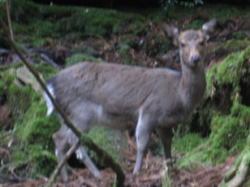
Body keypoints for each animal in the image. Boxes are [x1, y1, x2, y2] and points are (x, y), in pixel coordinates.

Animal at [44, 22, 210, 182]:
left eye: (202, 42)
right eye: (182, 44)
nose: (195, 58)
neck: (179, 95)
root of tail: (51, 84)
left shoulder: (165, 124)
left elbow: (167, 145)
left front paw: (171, 169)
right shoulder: (149, 110)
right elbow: (142, 144)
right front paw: (137, 172)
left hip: (66, 114)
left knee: (58, 137)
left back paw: (64, 177)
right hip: (81, 112)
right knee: (73, 140)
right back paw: (97, 174)